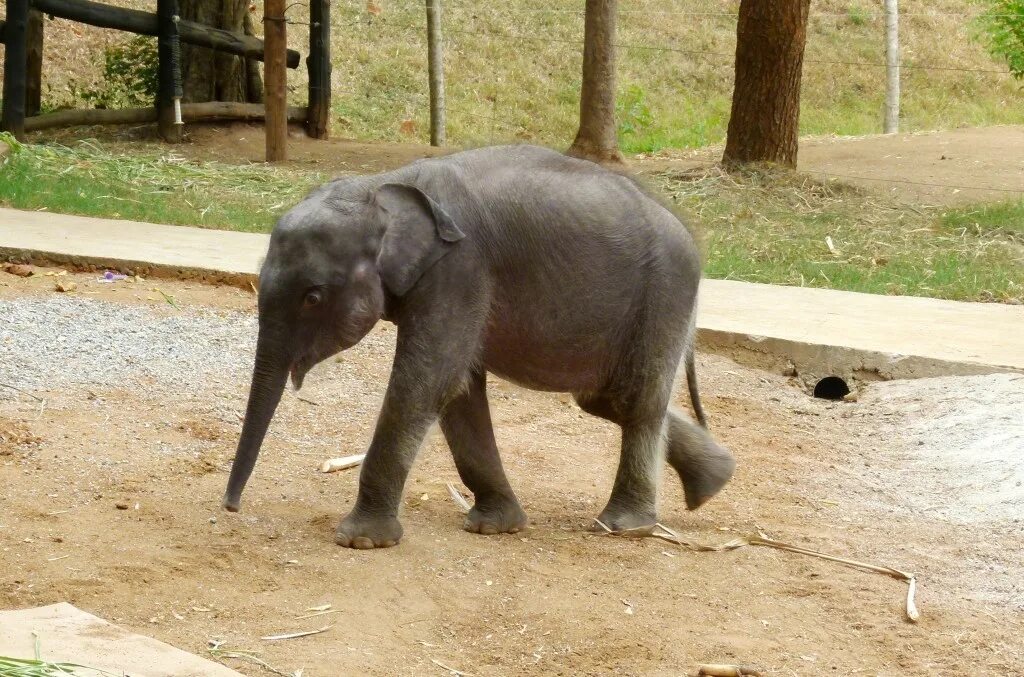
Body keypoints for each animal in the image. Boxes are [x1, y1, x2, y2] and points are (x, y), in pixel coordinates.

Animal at [224, 145, 737, 544]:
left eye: (312, 297)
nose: (231, 507)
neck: (385, 186)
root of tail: (689, 233)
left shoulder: (461, 269)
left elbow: (427, 382)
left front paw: (360, 541)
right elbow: (459, 390)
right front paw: (496, 526)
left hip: (664, 290)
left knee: (636, 399)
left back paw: (624, 526)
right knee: (605, 399)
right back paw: (715, 482)